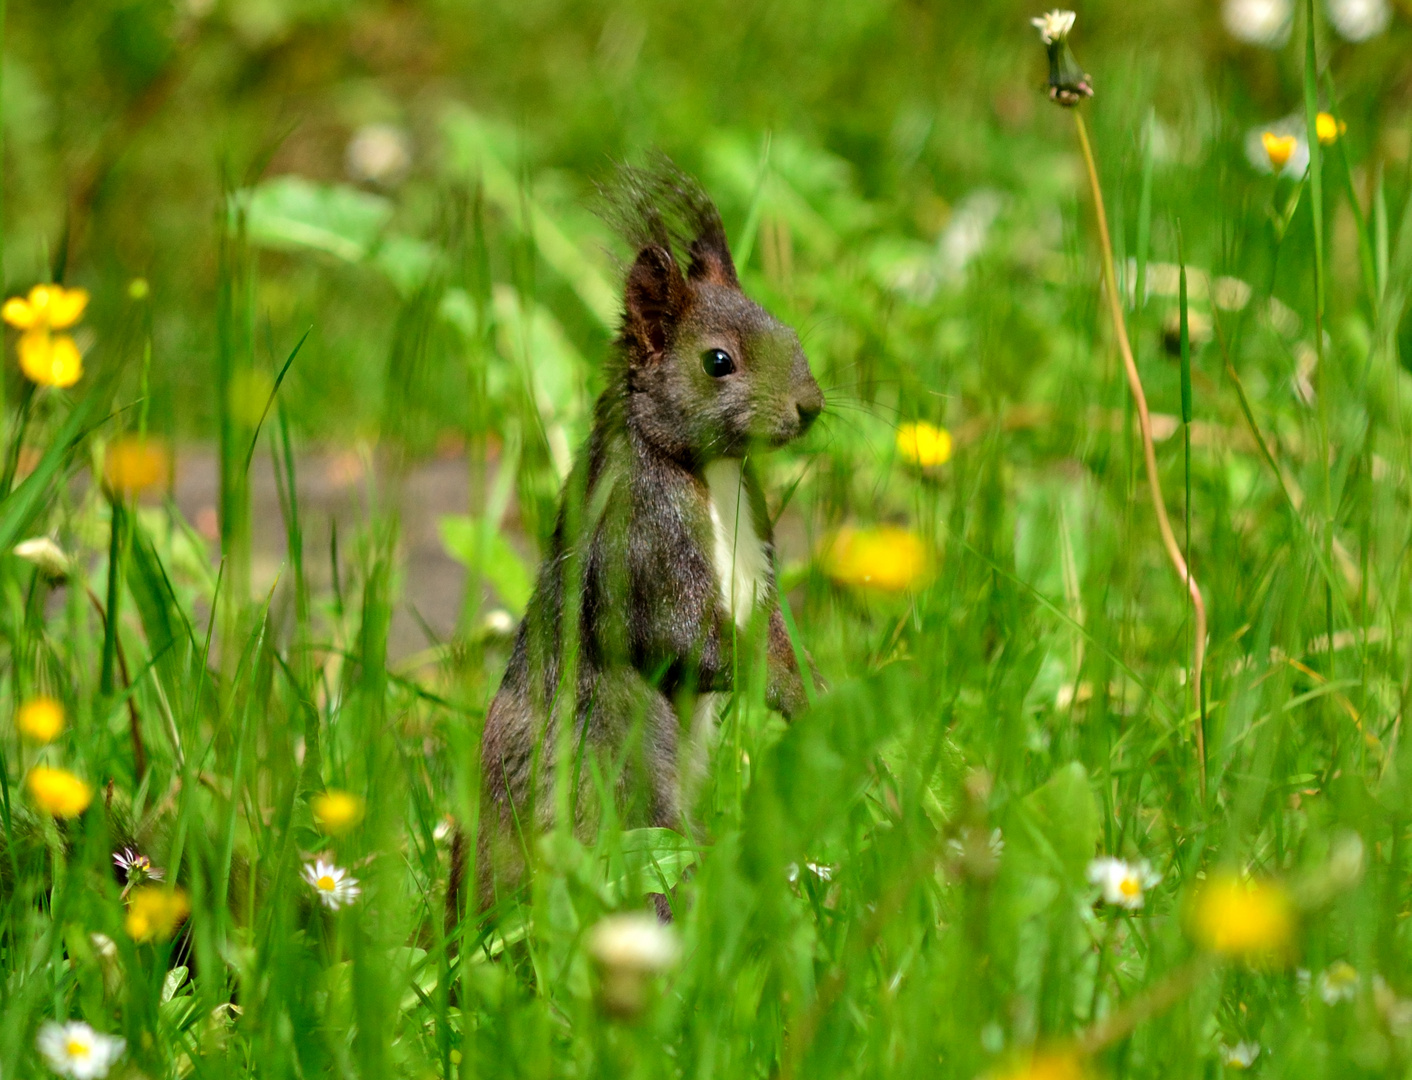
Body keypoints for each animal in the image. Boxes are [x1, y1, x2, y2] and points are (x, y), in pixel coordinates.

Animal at [451, 164, 824, 920]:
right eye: (718, 360)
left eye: (787, 329)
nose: (810, 407)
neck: (710, 471)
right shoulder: (645, 537)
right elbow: (683, 638)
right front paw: (787, 691)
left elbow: (772, 629)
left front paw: (815, 686)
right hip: (619, 776)